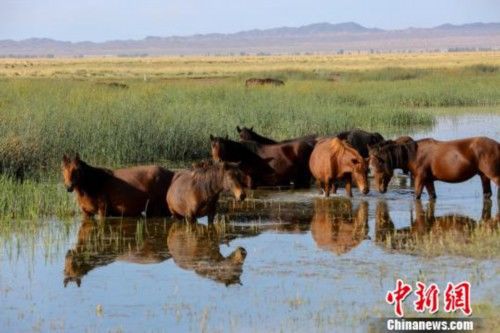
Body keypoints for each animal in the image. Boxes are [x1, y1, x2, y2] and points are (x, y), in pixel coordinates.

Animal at [368, 136, 500, 198]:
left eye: (376, 168)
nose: (380, 190)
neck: (413, 154)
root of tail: (497, 145)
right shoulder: (428, 180)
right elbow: (432, 196)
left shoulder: (420, 179)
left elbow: (417, 196)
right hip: (484, 176)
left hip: (494, 176)